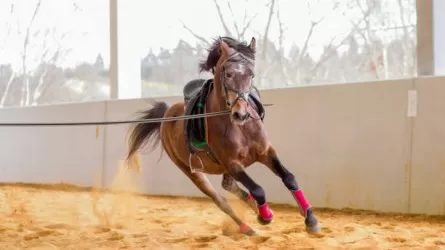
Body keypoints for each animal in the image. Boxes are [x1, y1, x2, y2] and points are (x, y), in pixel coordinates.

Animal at [124, 36, 320, 235]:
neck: (239, 127)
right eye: (228, 74)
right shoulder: (232, 163)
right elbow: (258, 189)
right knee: (221, 201)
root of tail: (166, 114)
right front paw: (265, 217)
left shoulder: (266, 153)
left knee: (229, 186)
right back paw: (248, 227)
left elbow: (289, 178)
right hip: (192, 172)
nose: (240, 114)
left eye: (251, 75)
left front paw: (310, 220)